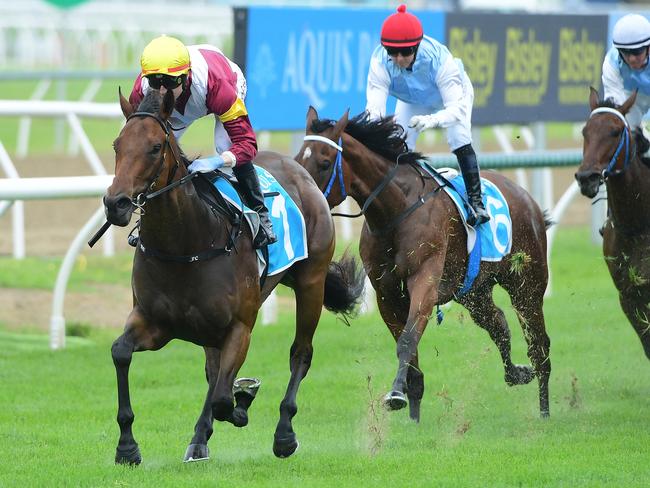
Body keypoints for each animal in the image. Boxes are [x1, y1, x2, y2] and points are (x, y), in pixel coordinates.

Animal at [104, 88, 362, 466]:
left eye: (154, 147)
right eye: (117, 144)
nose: (116, 204)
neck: (186, 243)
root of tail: (300, 169)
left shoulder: (239, 326)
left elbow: (225, 399)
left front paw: (245, 399)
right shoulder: (155, 322)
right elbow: (121, 351)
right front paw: (127, 446)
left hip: (310, 282)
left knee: (300, 353)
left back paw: (284, 434)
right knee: (214, 373)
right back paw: (199, 439)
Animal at [296, 108, 548, 422]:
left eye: (324, 162)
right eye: (297, 158)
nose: (304, 200)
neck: (396, 210)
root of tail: (525, 197)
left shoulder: (424, 282)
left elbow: (407, 340)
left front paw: (395, 395)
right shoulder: (387, 295)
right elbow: (409, 349)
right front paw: (412, 413)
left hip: (527, 285)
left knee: (539, 345)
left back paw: (545, 409)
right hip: (474, 292)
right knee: (499, 323)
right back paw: (517, 373)